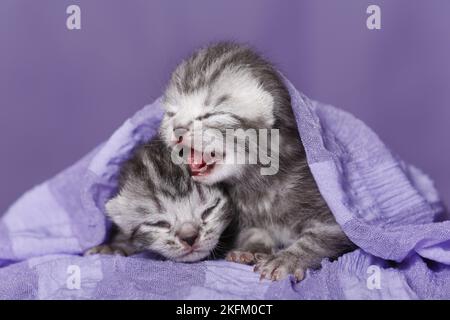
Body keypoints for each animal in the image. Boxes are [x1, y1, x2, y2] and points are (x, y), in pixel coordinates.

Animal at [160, 42, 356, 280]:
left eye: (210, 114)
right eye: (171, 114)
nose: (177, 129)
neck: (259, 187)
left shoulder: (336, 219)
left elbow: (318, 240)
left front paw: (287, 259)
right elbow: (253, 232)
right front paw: (250, 249)